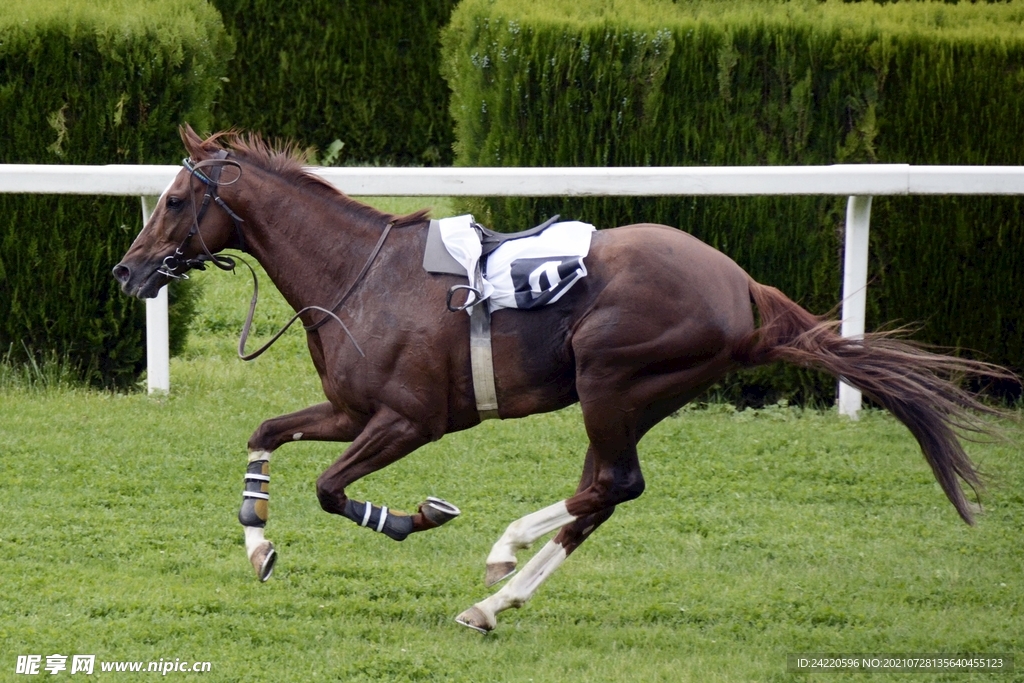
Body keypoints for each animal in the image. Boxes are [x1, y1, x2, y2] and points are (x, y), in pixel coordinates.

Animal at [113, 126, 1014, 633]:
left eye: (175, 199)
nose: (127, 270)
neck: (357, 274)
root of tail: (741, 287)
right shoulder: (349, 407)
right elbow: (265, 434)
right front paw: (258, 543)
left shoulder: (409, 418)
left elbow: (333, 489)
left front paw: (414, 516)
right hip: (634, 395)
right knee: (603, 494)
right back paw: (494, 599)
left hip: (612, 378)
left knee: (610, 484)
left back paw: (501, 555)